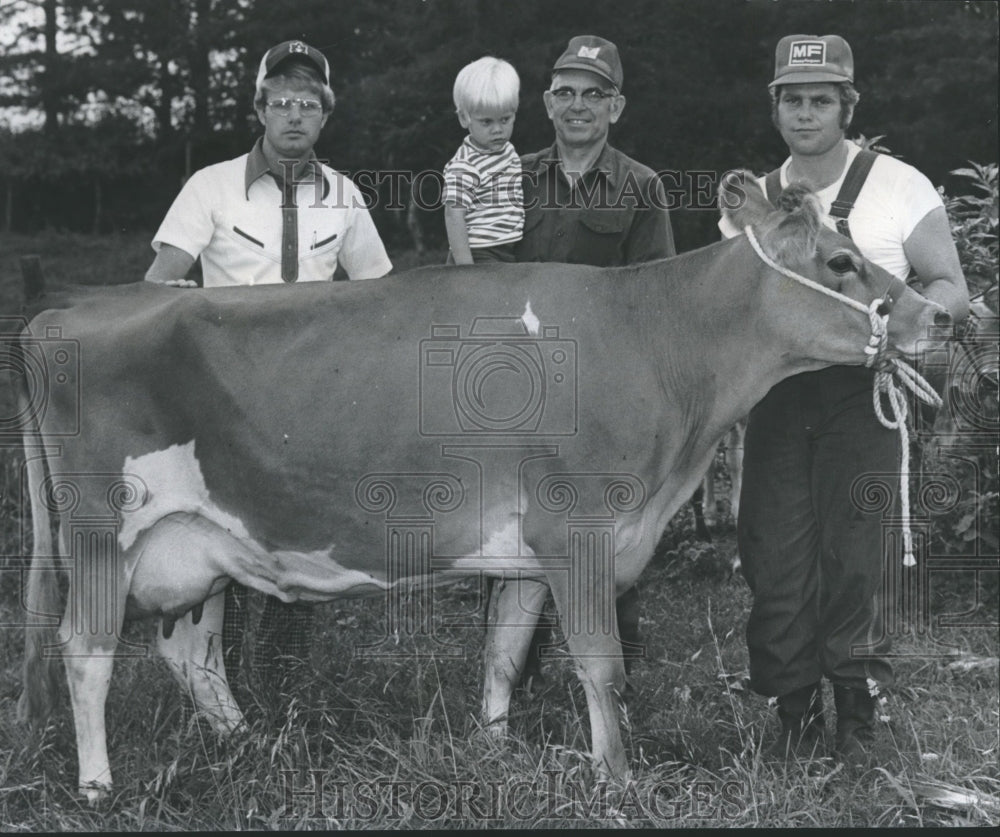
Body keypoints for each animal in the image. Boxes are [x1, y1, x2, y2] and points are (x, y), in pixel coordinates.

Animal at [15, 175, 948, 796]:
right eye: (840, 260)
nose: (937, 313)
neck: (656, 338)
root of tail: (64, 310)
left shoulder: (527, 547)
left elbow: (503, 652)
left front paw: (494, 751)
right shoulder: (581, 530)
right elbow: (601, 663)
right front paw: (618, 778)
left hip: (202, 544)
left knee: (191, 651)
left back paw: (253, 745)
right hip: (102, 531)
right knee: (84, 648)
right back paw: (99, 786)